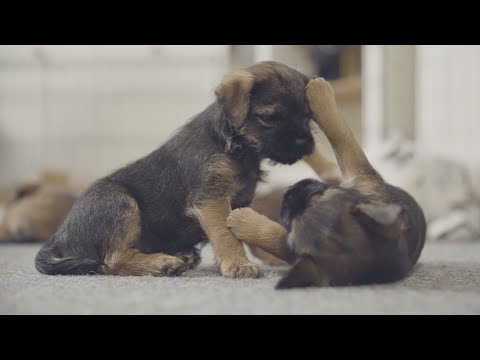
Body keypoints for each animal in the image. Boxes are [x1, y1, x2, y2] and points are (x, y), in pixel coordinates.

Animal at [36, 61, 316, 278]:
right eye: (270, 118)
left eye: (307, 117)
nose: (303, 141)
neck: (234, 146)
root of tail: (58, 238)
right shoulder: (212, 199)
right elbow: (227, 234)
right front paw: (238, 264)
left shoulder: (239, 202)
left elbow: (247, 230)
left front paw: (278, 255)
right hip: (119, 201)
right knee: (113, 260)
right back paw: (163, 263)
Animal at [227, 77, 426, 288]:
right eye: (321, 195)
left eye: (293, 223)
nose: (291, 192)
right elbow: (341, 134)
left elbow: (273, 237)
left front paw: (243, 221)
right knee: (329, 163)